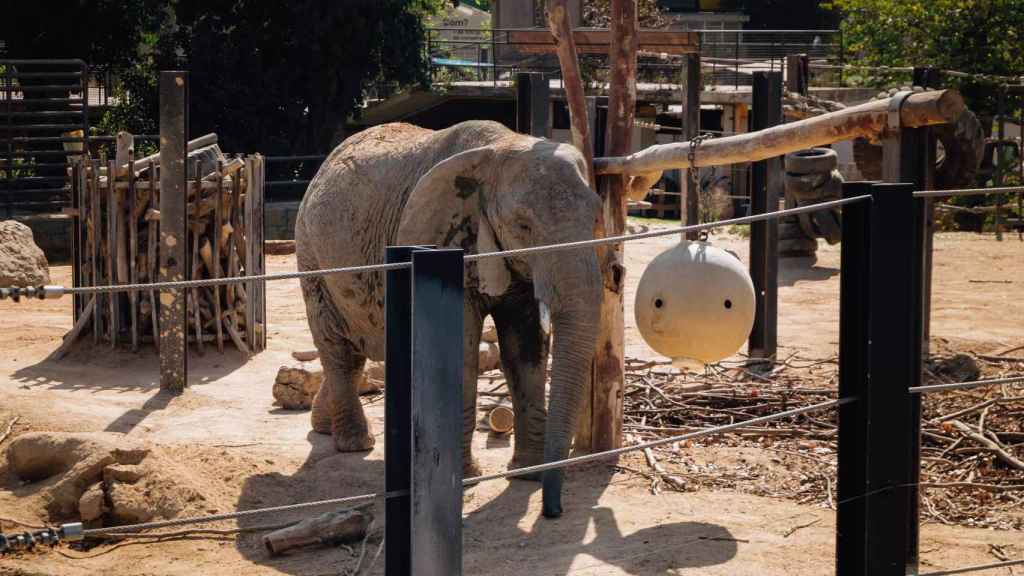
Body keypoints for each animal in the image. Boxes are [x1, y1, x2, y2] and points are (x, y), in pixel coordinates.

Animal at [292, 118, 602, 512]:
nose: (553, 512)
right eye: (523, 226)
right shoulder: (446, 237)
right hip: (311, 255)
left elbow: (525, 348)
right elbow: (463, 349)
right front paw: (467, 478)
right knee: (339, 348)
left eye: (596, 216)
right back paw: (355, 444)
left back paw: (323, 426)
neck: (504, 146)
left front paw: (526, 474)